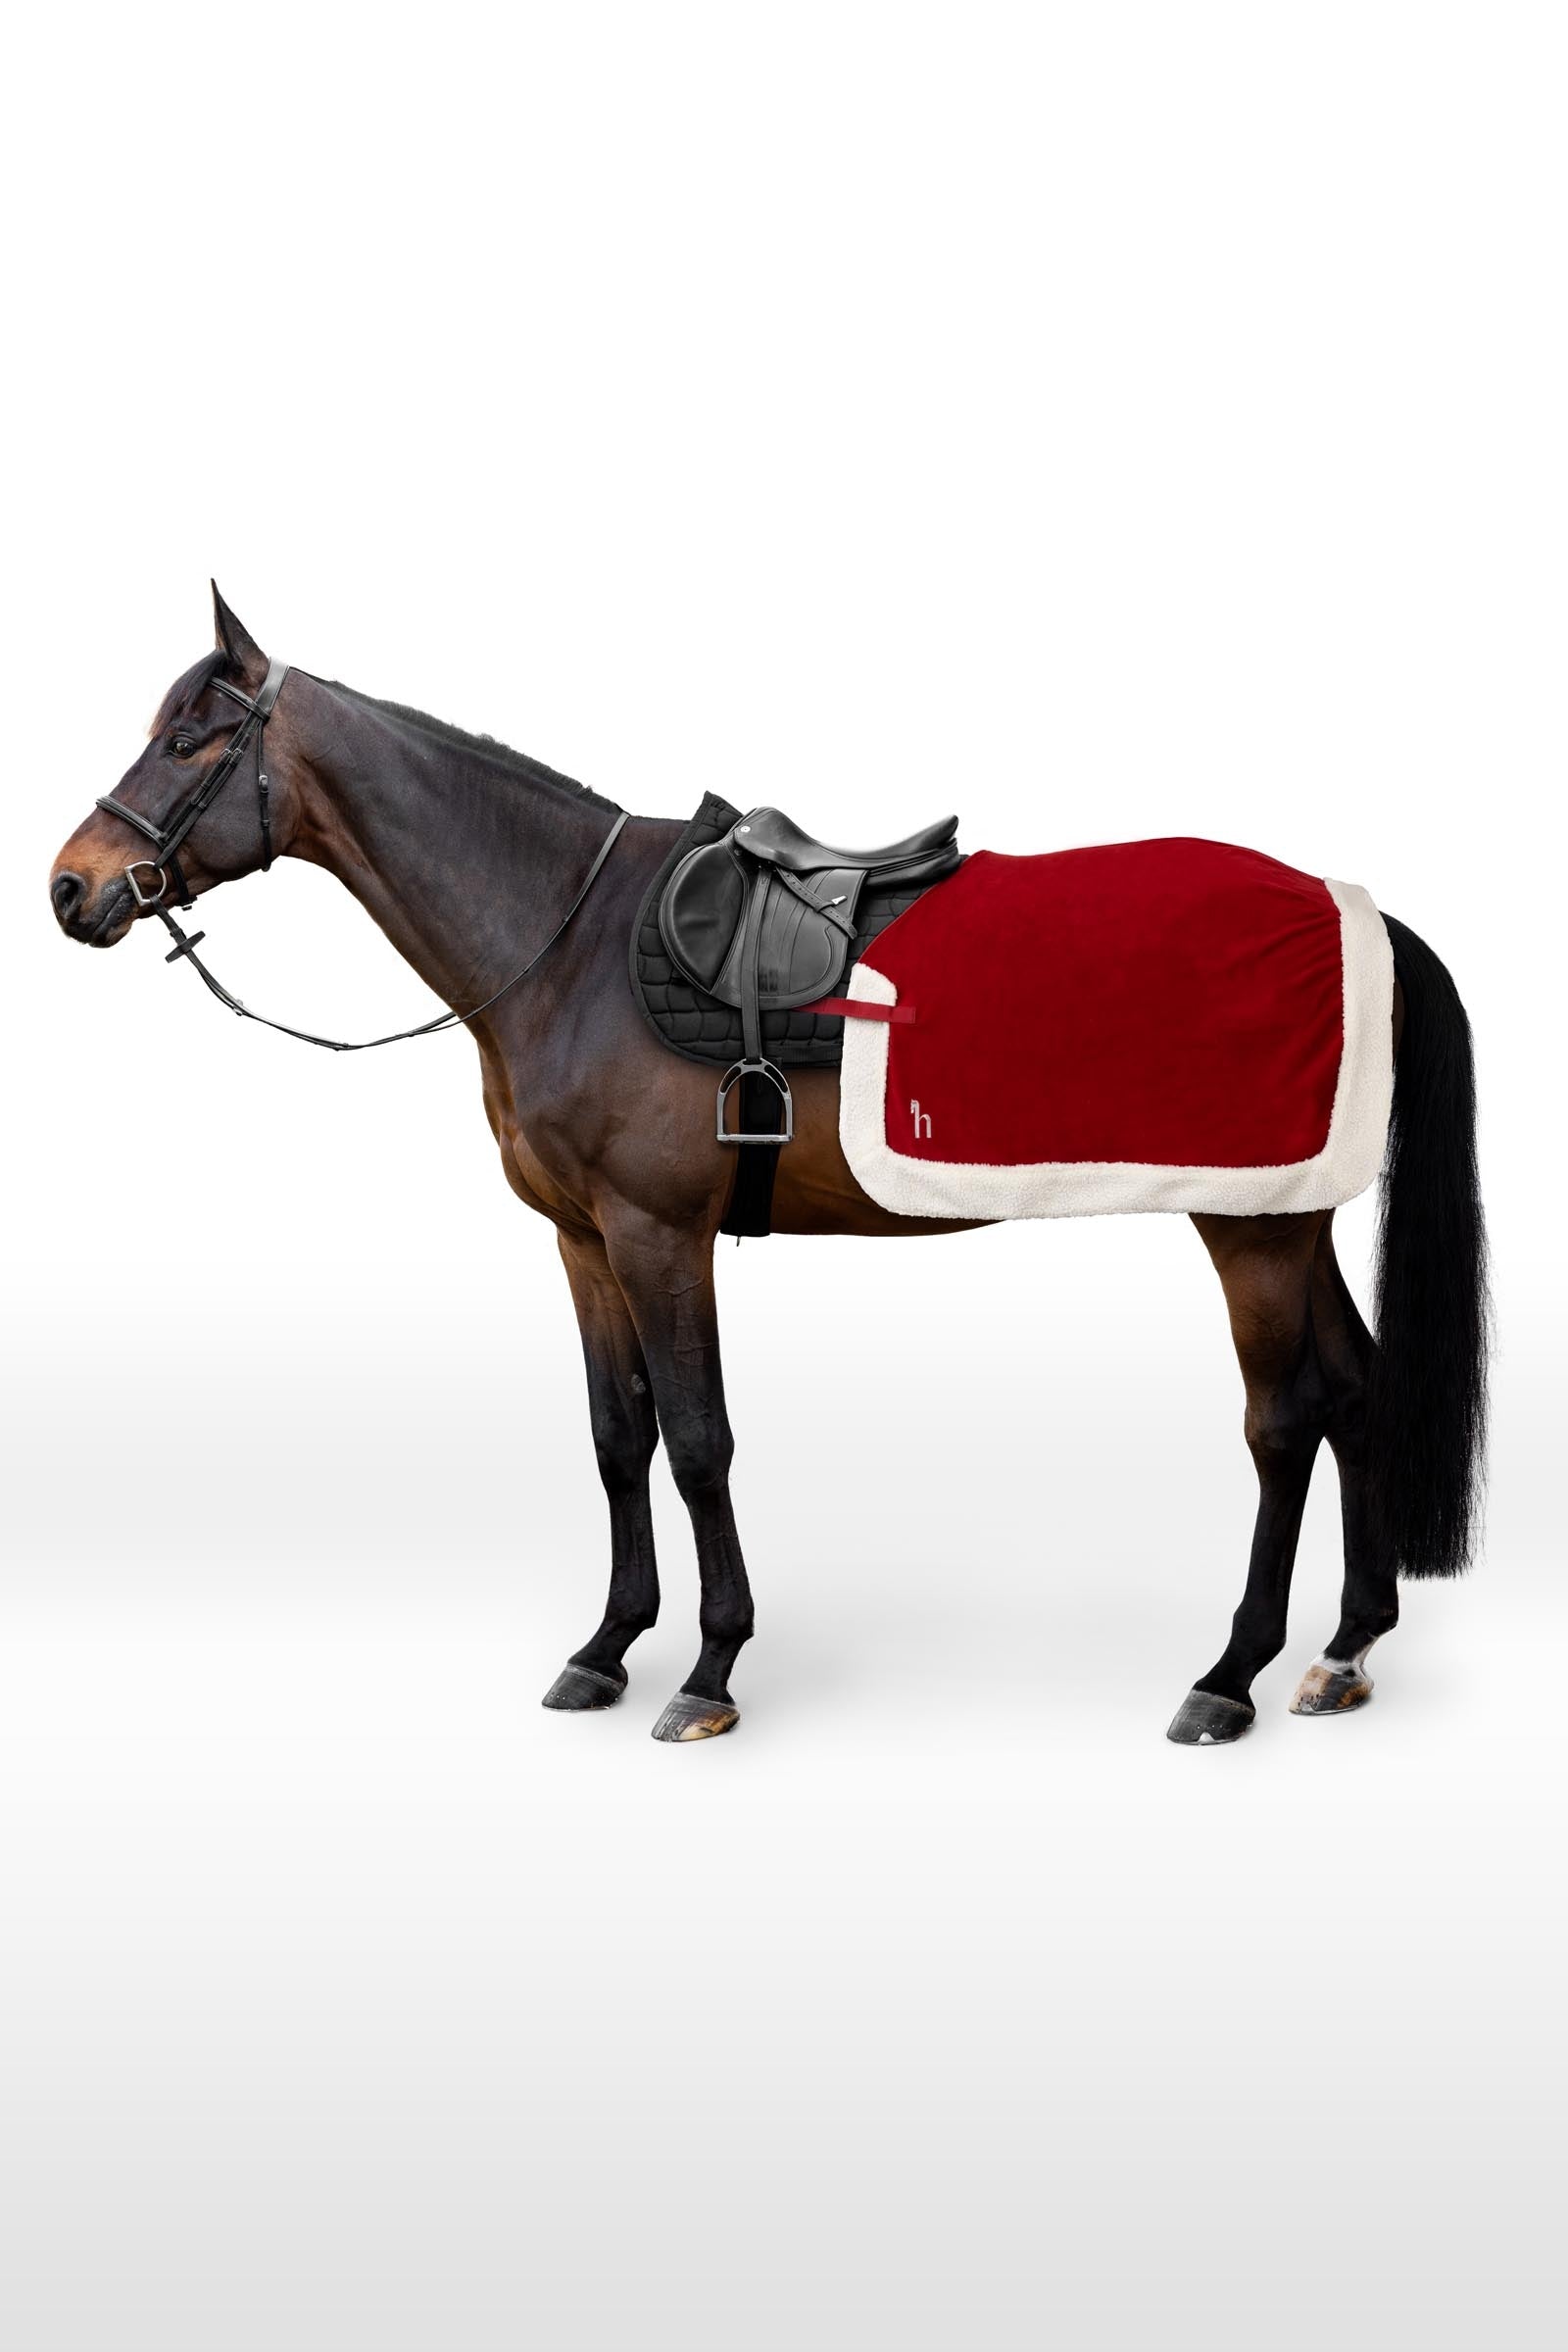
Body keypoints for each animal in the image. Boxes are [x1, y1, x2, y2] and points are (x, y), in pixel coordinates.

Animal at [49, 590, 1488, 1744]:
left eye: (192, 739)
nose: (72, 888)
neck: (567, 943)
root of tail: (1349, 911)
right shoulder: (583, 1241)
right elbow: (617, 1437)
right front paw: (606, 1648)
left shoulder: (658, 1233)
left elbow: (698, 1442)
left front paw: (709, 1670)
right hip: (1289, 1216)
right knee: (1355, 1391)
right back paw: (1344, 1652)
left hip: (1250, 1227)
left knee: (1284, 1419)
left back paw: (1232, 1674)